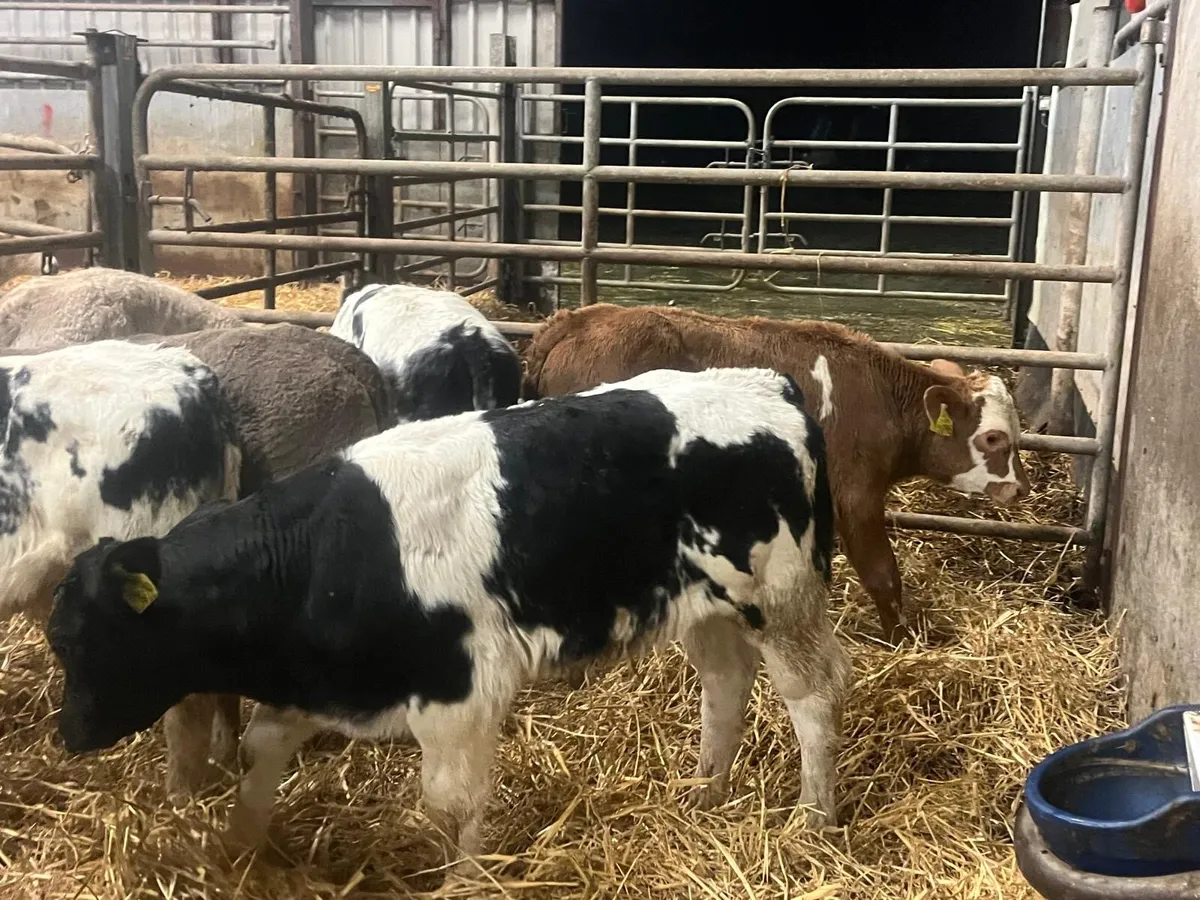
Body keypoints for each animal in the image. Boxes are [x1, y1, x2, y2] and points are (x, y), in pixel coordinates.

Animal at [47, 366, 851, 870]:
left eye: (88, 640)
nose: (69, 735)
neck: (320, 558)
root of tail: (766, 383)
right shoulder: (323, 682)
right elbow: (261, 748)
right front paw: (238, 848)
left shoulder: (460, 692)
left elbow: (450, 802)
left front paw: (462, 877)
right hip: (701, 605)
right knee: (725, 682)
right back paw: (706, 790)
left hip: (782, 600)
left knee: (814, 698)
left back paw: (814, 818)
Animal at [522, 304, 1032, 645]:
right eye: (994, 438)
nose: (1020, 488)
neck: (882, 398)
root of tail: (577, 319)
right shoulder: (856, 493)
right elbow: (883, 573)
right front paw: (903, 641)